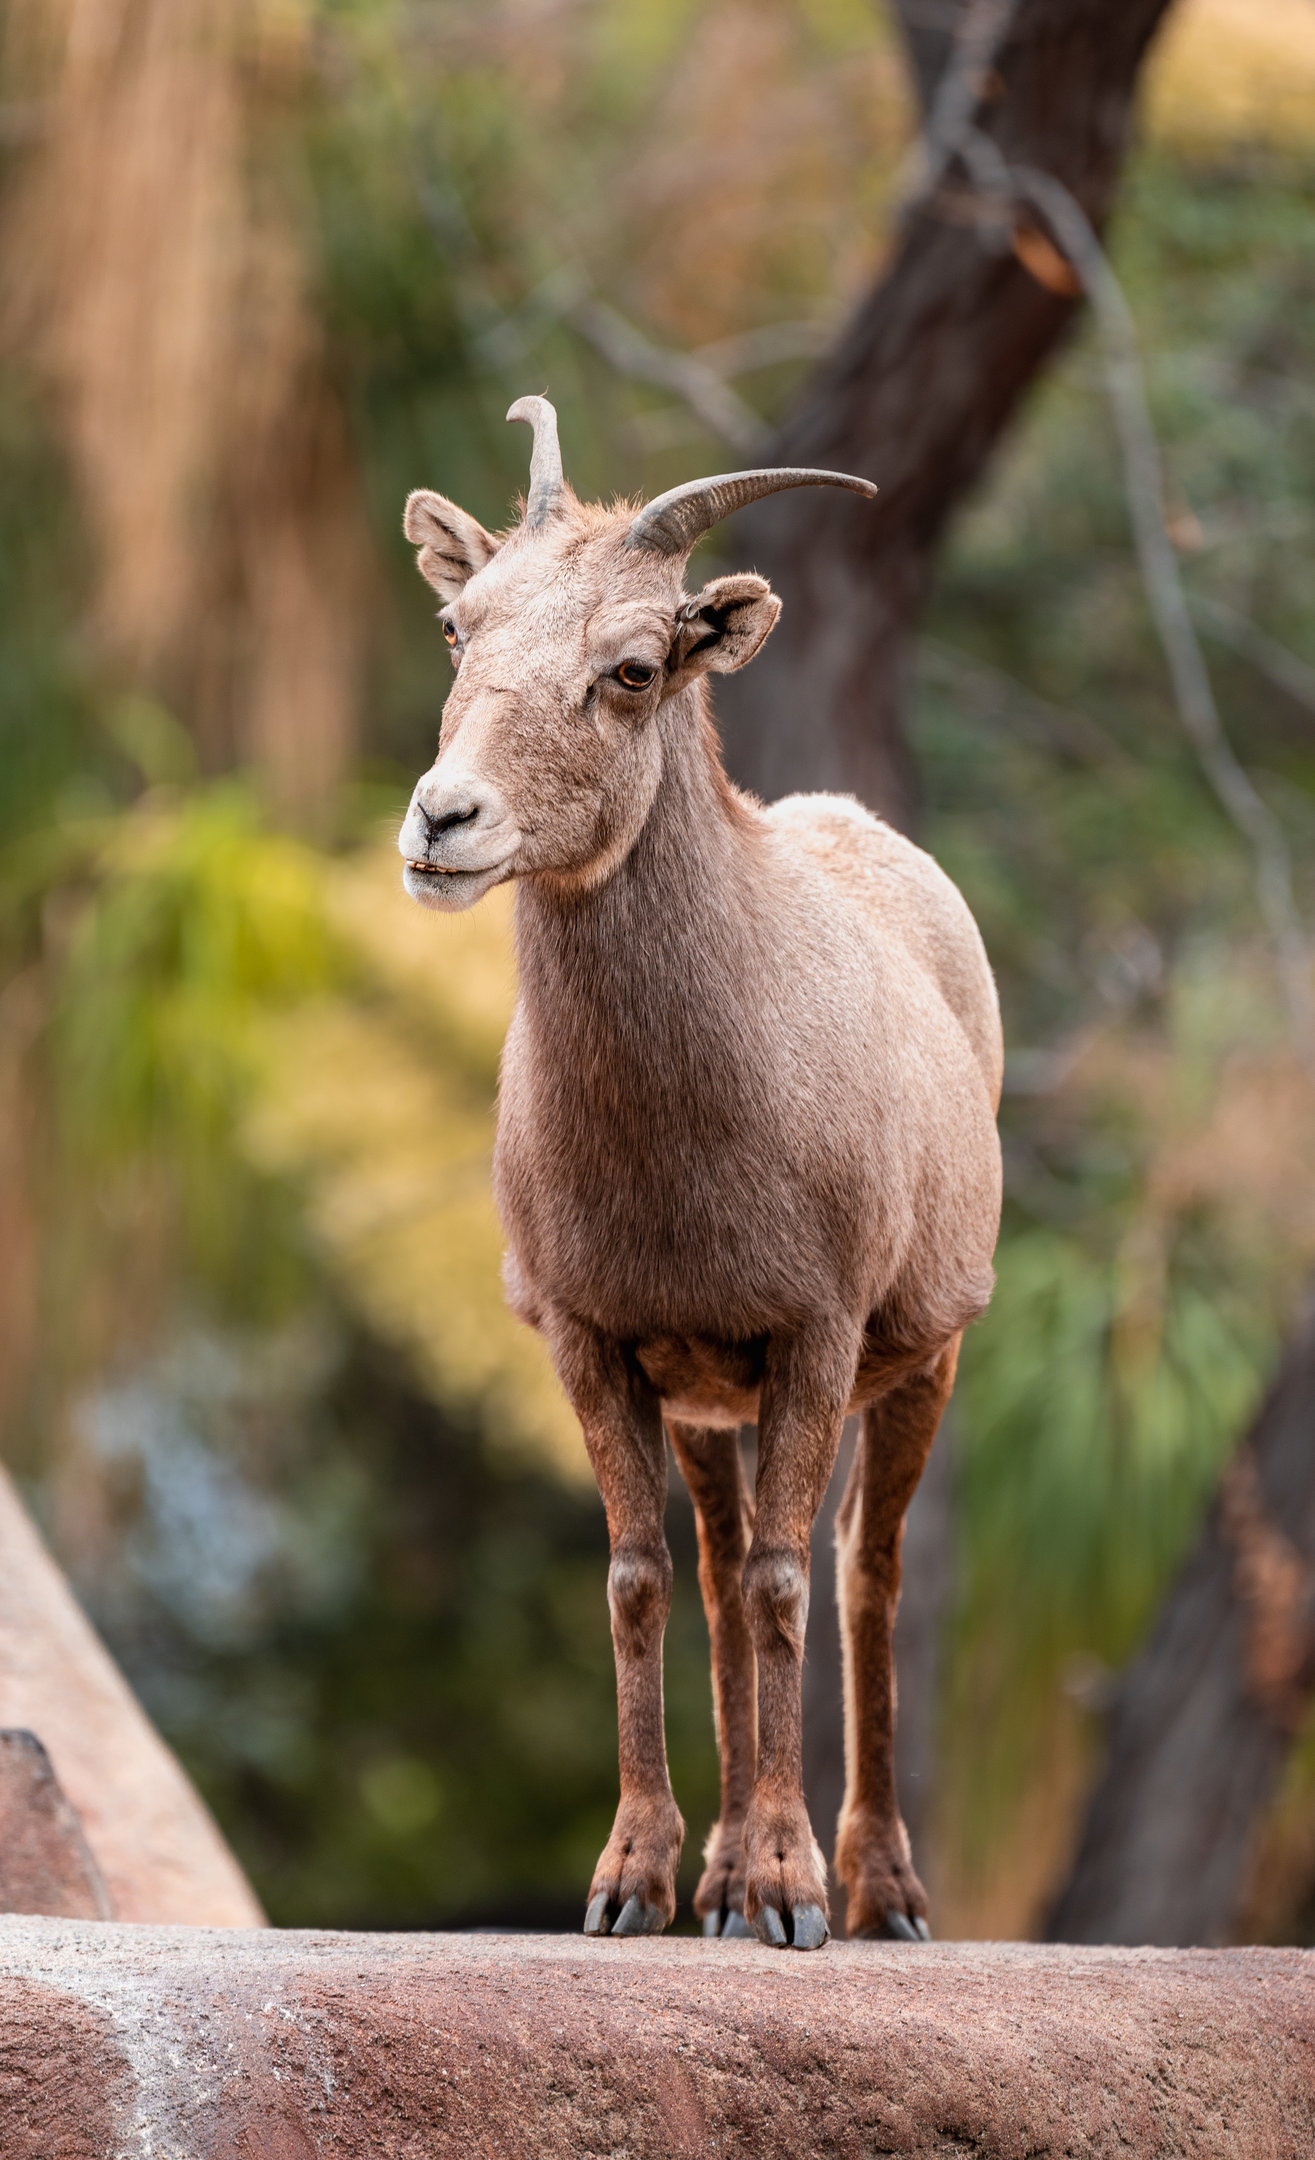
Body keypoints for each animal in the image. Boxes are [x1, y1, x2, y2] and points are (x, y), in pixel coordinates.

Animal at [397, 396, 1003, 1950]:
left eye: (631, 666)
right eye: (457, 627)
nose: (442, 825)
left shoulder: (814, 1335)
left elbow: (792, 1582)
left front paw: (790, 1896)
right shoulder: (600, 1341)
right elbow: (643, 1580)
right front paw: (634, 1885)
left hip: (920, 1365)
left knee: (860, 1568)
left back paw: (872, 1894)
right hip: (703, 1404)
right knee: (724, 1576)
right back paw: (721, 1884)